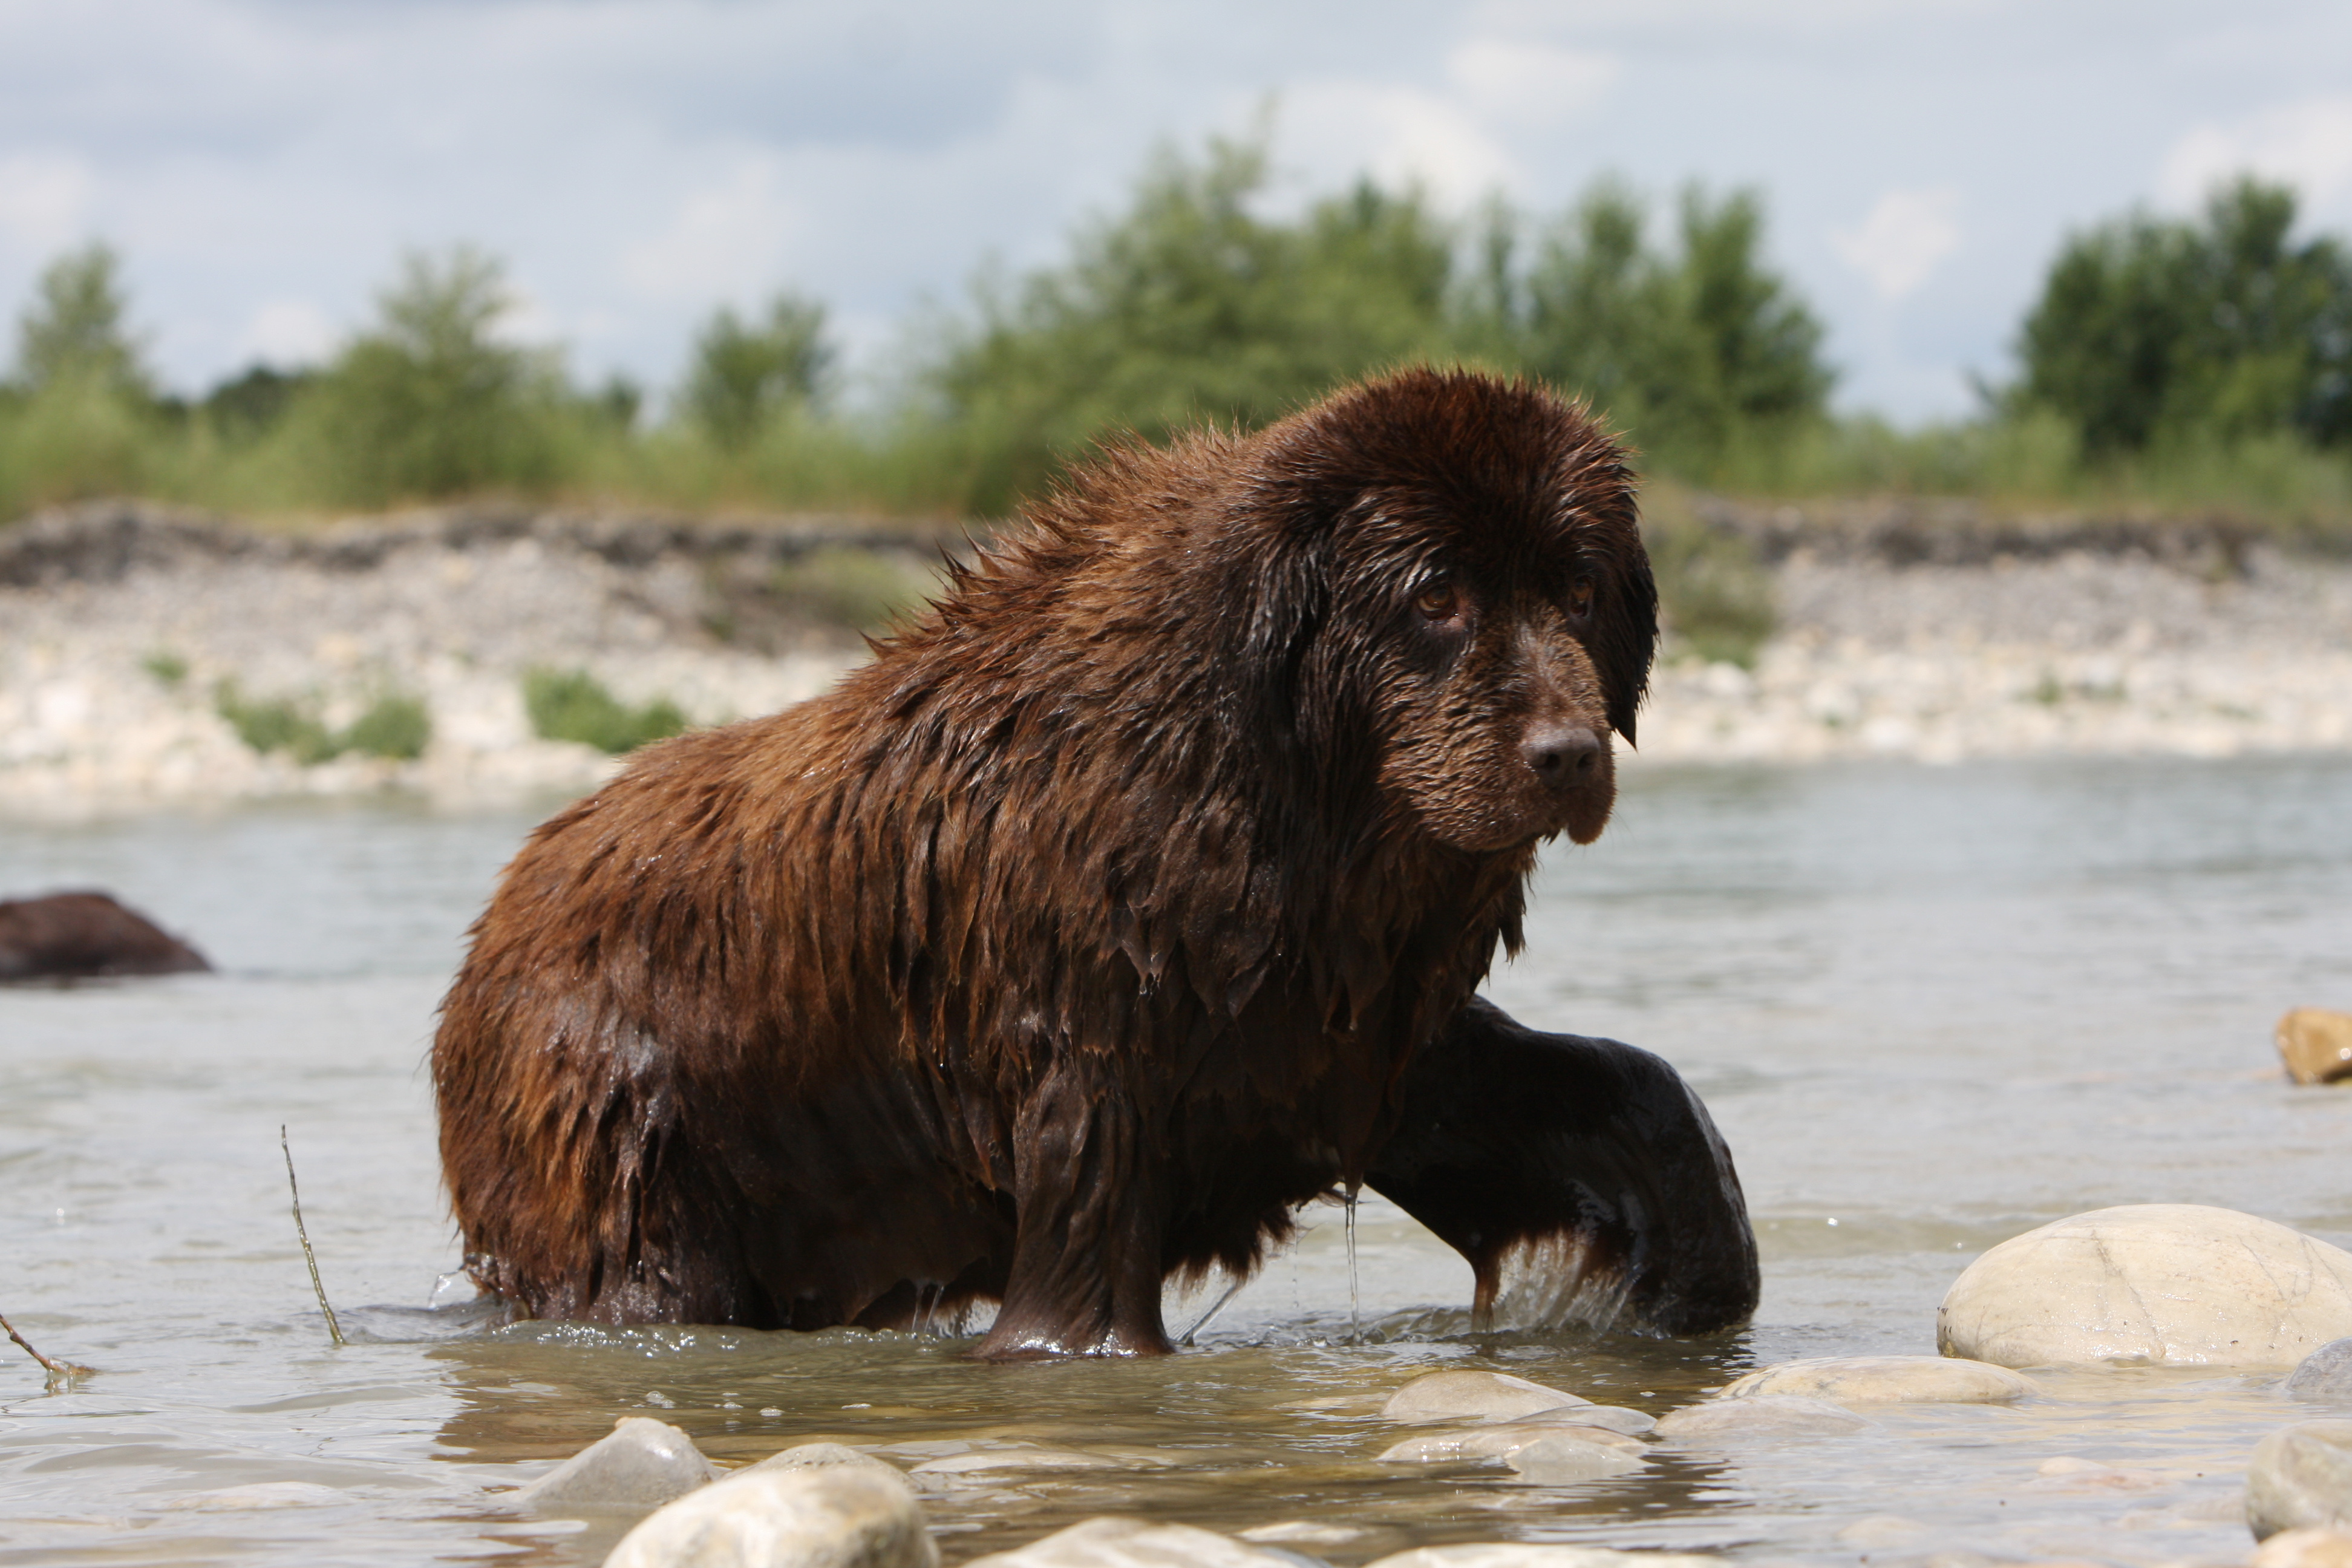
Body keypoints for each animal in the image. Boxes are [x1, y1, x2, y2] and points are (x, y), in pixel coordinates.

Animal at [444, 371, 1768, 1363]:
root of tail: (499, 909)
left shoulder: (1343, 1030)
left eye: (1580, 587)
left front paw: (1679, 1279)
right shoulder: (1094, 1050)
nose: (1566, 753)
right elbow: (1079, 1306)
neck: (1275, 792)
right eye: (1437, 594)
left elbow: (1627, 1090)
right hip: (624, 1155)